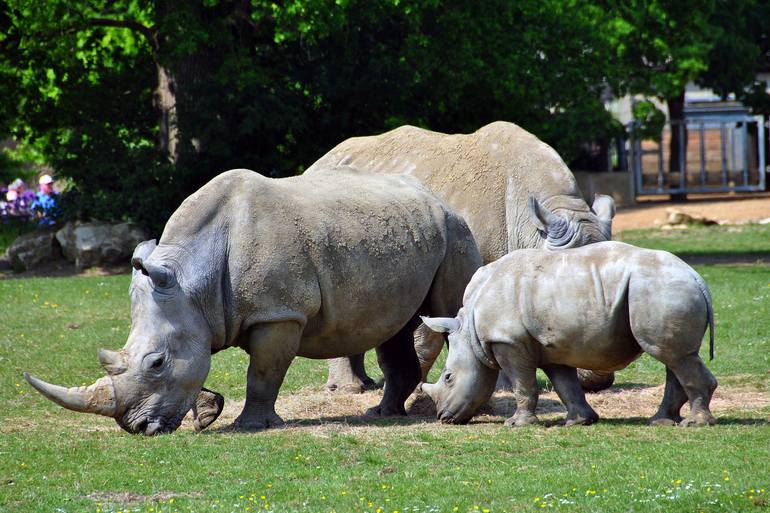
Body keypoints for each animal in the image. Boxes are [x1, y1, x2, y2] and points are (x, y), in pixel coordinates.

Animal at [24, 167, 476, 432]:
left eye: (156, 363)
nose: (137, 428)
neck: (191, 280)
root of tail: (439, 198)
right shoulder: (196, 314)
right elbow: (198, 364)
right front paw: (207, 412)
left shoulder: (278, 314)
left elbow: (262, 372)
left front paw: (250, 425)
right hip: (413, 232)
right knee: (393, 328)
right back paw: (381, 415)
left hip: (455, 232)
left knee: (445, 313)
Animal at [304, 120, 612, 392]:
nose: (597, 382)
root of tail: (317, 161)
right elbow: (434, 333)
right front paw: (421, 386)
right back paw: (348, 389)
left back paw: (362, 384)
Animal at [420, 242, 712, 426]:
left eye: (448, 378)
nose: (442, 417)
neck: (470, 329)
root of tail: (697, 278)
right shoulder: (549, 345)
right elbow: (565, 384)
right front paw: (579, 422)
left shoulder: (508, 340)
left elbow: (522, 383)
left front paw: (516, 424)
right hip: (663, 290)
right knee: (675, 357)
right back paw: (661, 422)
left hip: (660, 290)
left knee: (672, 355)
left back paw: (693, 424)